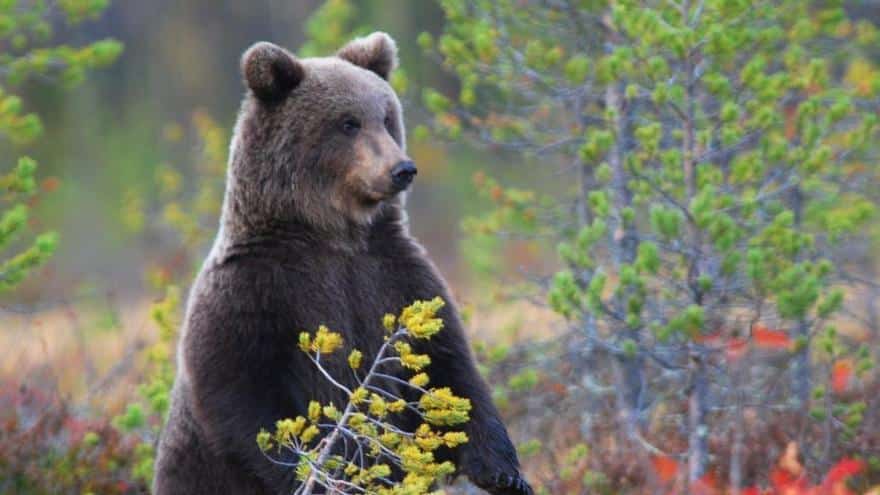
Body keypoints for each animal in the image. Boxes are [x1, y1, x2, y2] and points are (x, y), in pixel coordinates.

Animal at [153, 33, 528, 494]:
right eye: (348, 123)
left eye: (386, 117)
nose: (402, 169)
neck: (335, 235)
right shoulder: (254, 290)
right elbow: (241, 393)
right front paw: (326, 471)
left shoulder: (395, 275)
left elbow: (447, 366)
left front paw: (504, 472)